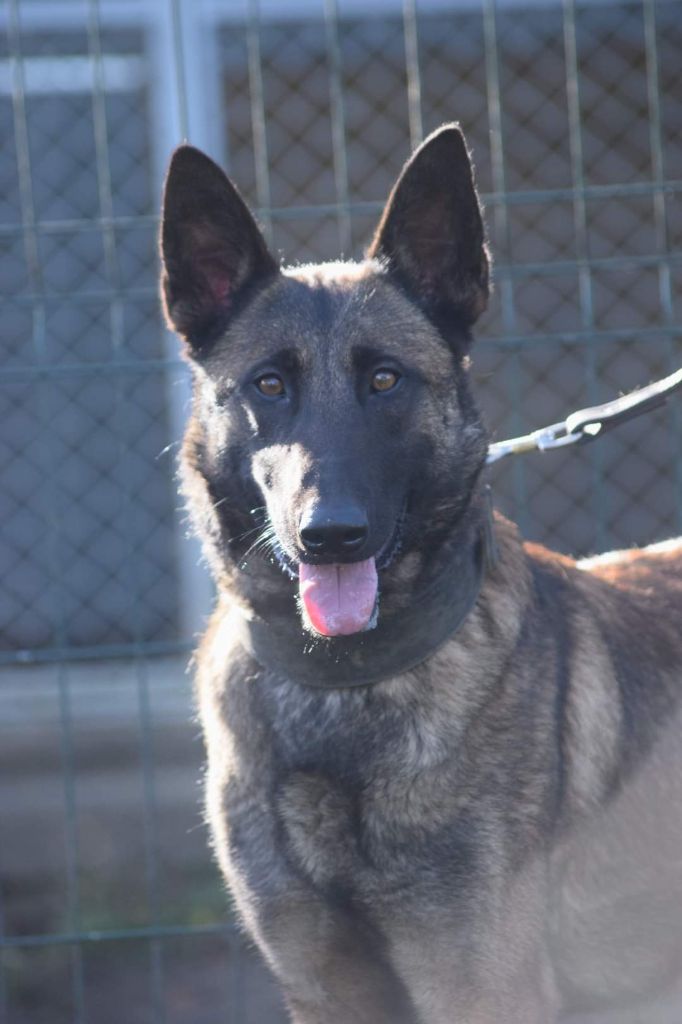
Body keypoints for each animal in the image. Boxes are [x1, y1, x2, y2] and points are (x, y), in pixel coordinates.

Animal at [159, 128, 679, 1024]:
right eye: (270, 384)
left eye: (384, 379)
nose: (329, 535)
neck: (343, 686)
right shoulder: (327, 992)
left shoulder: (479, 989)